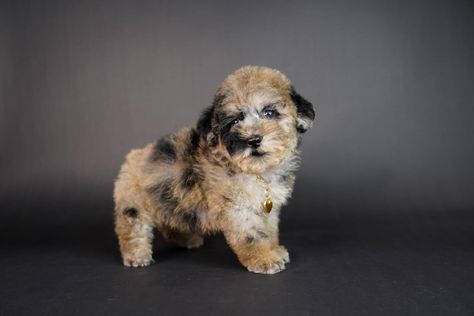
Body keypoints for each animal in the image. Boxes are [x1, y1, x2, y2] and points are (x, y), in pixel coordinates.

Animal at [113, 65, 314, 272]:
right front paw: (264, 258)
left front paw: (274, 249)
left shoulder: (267, 208)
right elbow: (253, 234)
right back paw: (136, 255)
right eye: (235, 121)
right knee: (132, 227)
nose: (253, 140)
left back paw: (188, 239)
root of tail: (133, 156)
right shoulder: (238, 208)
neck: (257, 172)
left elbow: (269, 230)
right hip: (135, 203)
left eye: (270, 113)